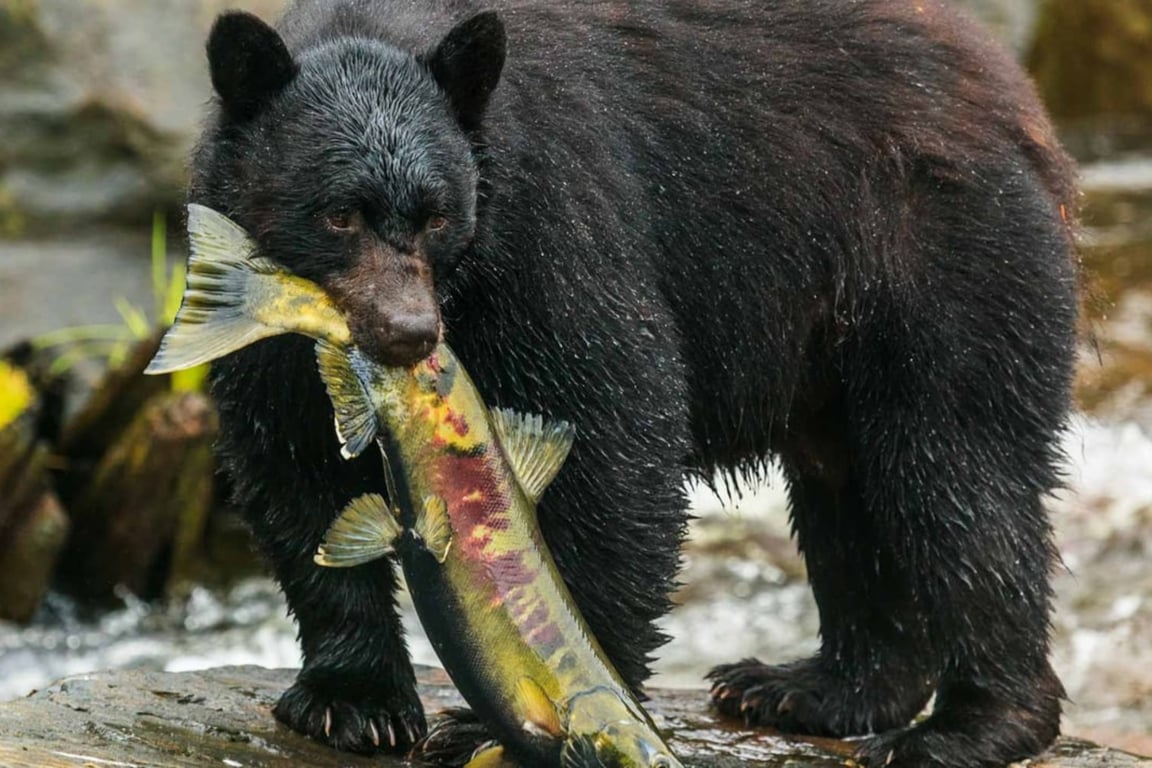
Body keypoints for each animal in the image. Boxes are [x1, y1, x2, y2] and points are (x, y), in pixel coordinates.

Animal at [190, 1, 1079, 766]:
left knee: (955, 472)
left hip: (937, 255)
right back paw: (812, 689)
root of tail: (1017, 94)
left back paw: (969, 725)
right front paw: (354, 703)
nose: (409, 334)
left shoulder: (549, 224)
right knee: (846, 488)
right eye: (339, 214)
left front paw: (544, 696)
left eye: (437, 214)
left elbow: (613, 429)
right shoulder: (256, 299)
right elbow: (291, 461)